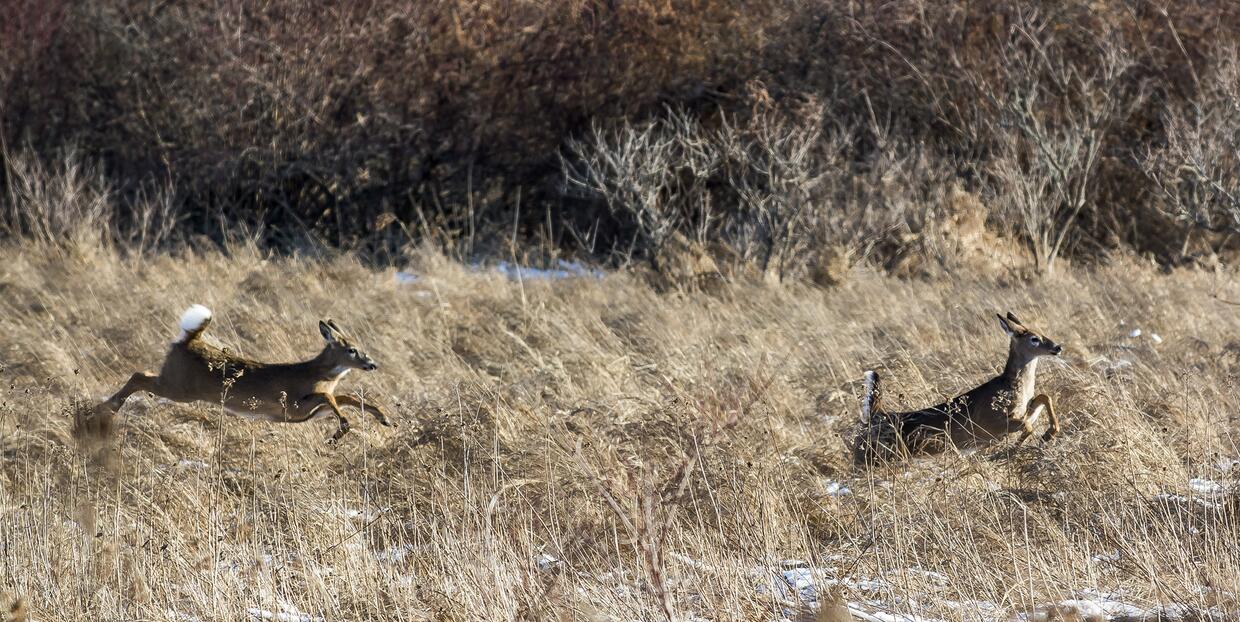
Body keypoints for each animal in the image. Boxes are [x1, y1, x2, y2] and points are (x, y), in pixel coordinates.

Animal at [84, 305, 395, 442]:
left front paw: (384, 418)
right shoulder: (294, 406)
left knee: (142, 374)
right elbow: (333, 399)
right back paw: (106, 408)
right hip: (180, 387)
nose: (373, 364)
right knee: (138, 375)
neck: (321, 373)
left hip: (174, 382)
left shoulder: (310, 409)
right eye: (352, 350)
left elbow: (347, 397)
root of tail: (189, 340)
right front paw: (340, 431)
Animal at [852, 312, 1063, 465]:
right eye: (1034, 339)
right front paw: (1012, 449)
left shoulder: (1022, 410)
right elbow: (1027, 425)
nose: (1058, 347)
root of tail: (875, 415)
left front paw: (1048, 434)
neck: (1014, 387)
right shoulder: (988, 422)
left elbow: (1044, 397)